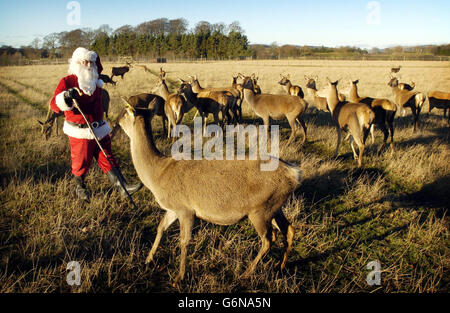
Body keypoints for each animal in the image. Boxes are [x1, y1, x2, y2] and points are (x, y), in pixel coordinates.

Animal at [118, 98, 300, 286]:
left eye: (124, 113)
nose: (115, 122)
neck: (157, 174)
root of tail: (293, 172)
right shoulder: (173, 208)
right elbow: (161, 227)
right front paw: (148, 259)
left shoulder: (185, 209)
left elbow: (184, 241)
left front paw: (179, 277)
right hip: (274, 206)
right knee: (289, 230)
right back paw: (281, 266)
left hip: (260, 209)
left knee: (268, 239)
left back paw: (246, 273)